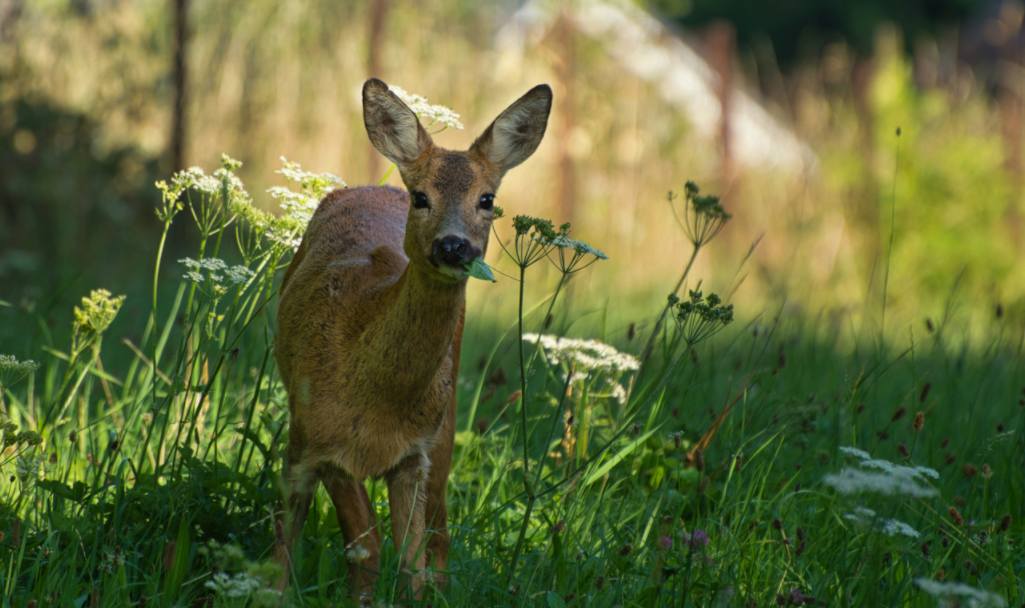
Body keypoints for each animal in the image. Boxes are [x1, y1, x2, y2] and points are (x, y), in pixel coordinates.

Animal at [274, 78, 553, 598]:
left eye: (487, 199)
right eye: (421, 197)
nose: (454, 245)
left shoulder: (414, 455)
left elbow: (410, 562)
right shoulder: (323, 441)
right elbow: (365, 548)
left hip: (444, 426)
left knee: (440, 532)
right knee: (297, 517)